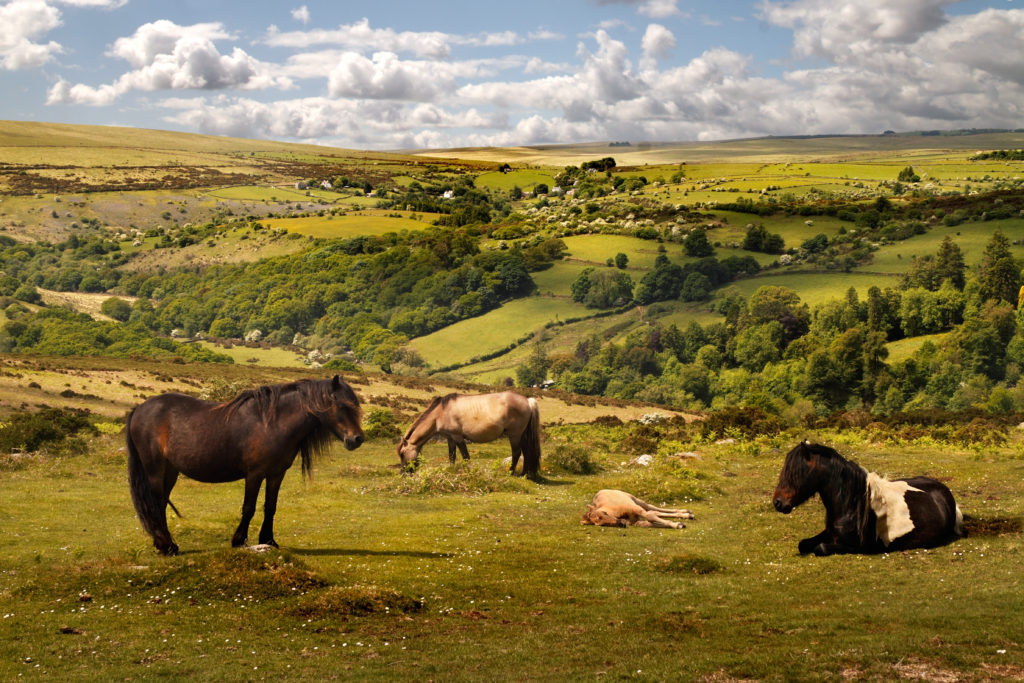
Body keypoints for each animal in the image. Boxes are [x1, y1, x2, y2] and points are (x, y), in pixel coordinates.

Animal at [127, 376, 362, 557]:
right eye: (343, 406)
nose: (357, 439)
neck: (272, 424)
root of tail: (139, 409)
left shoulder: (276, 474)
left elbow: (270, 507)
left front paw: (269, 540)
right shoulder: (255, 474)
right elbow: (249, 508)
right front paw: (239, 540)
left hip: (171, 471)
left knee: (161, 505)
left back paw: (162, 545)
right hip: (155, 470)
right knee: (155, 504)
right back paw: (168, 547)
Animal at [395, 393, 540, 479]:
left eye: (402, 454)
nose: (403, 473)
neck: (440, 413)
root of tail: (528, 401)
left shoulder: (458, 437)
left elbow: (465, 456)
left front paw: (471, 472)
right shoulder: (450, 438)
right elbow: (452, 456)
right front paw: (451, 470)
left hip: (515, 435)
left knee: (516, 453)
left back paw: (512, 473)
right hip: (522, 435)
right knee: (526, 452)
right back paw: (524, 474)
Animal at [770, 444, 962, 557]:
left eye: (797, 473)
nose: (778, 502)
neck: (851, 503)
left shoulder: (856, 546)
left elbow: (820, 548)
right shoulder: (829, 533)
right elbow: (803, 544)